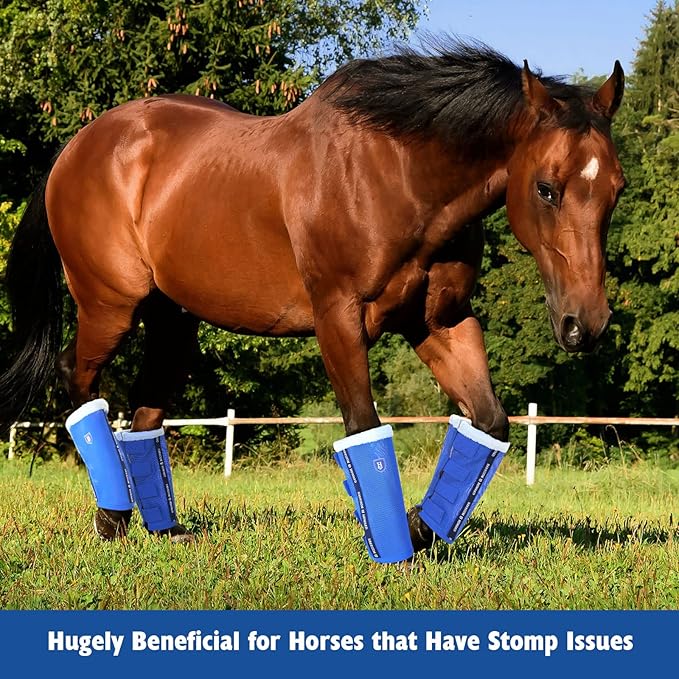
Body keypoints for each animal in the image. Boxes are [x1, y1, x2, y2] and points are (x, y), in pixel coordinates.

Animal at [0, 39, 625, 557]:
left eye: (616, 189)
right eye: (546, 188)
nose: (585, 324)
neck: (397, 176)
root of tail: (78, 147)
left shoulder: (441, 322)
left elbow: (489, 422)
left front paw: (423, 526)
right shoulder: (339, 319)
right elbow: (364, 429)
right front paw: (395, 549)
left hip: (172, 320)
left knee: (146, 412)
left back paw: (165, 530)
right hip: (110, 306)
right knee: (79, 381)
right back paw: (111, 516)